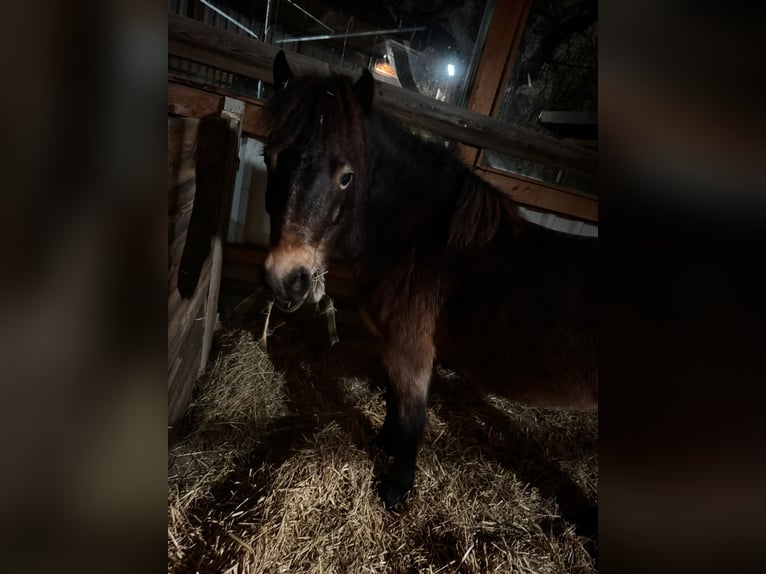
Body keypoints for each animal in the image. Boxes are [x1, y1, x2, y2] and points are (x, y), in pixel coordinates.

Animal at [262, 50, 598, 509]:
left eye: (346, 176)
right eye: (269, 158)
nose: (286, 279)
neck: (417, 240)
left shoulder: (412, 351)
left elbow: (413, 419)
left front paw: (395, 489)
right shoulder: (391, 344)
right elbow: (393, 402)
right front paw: (384, 443)